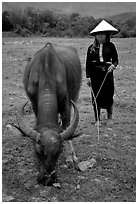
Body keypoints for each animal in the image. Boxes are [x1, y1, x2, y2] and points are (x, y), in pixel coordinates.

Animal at [13, 42, 81, 185]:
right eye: (37, 151)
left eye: (59, 150)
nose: (48, 178)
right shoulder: (34, 103)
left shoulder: (66, 105)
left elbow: (67, 128)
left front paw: (70, 158)